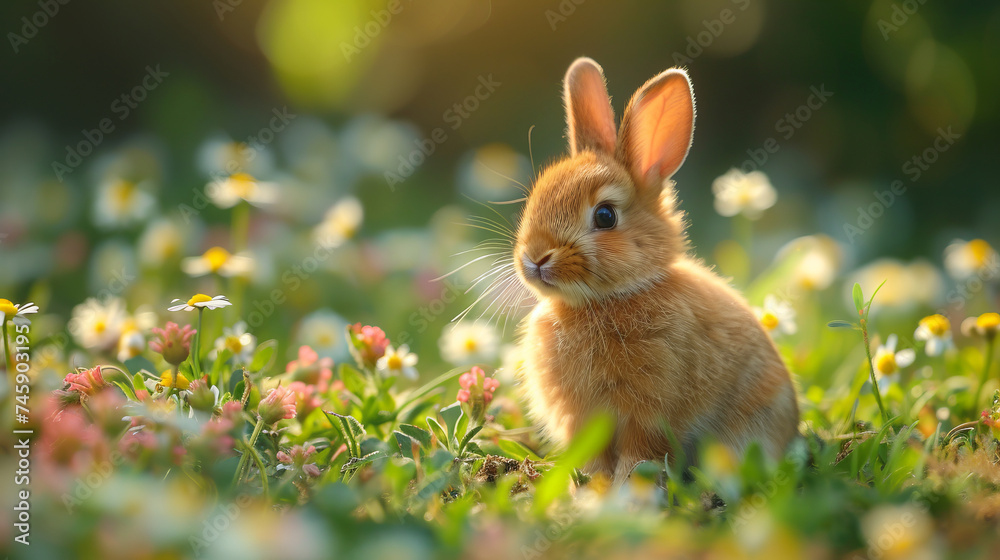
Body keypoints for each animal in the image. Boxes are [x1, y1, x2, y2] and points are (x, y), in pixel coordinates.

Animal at [513, 57, 799, 484]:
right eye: (535, 199)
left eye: (605, 216)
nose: (535, 258)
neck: (608, 298)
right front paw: (592, 485)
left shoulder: (648, 410)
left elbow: (640, 451)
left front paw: (626, 488)